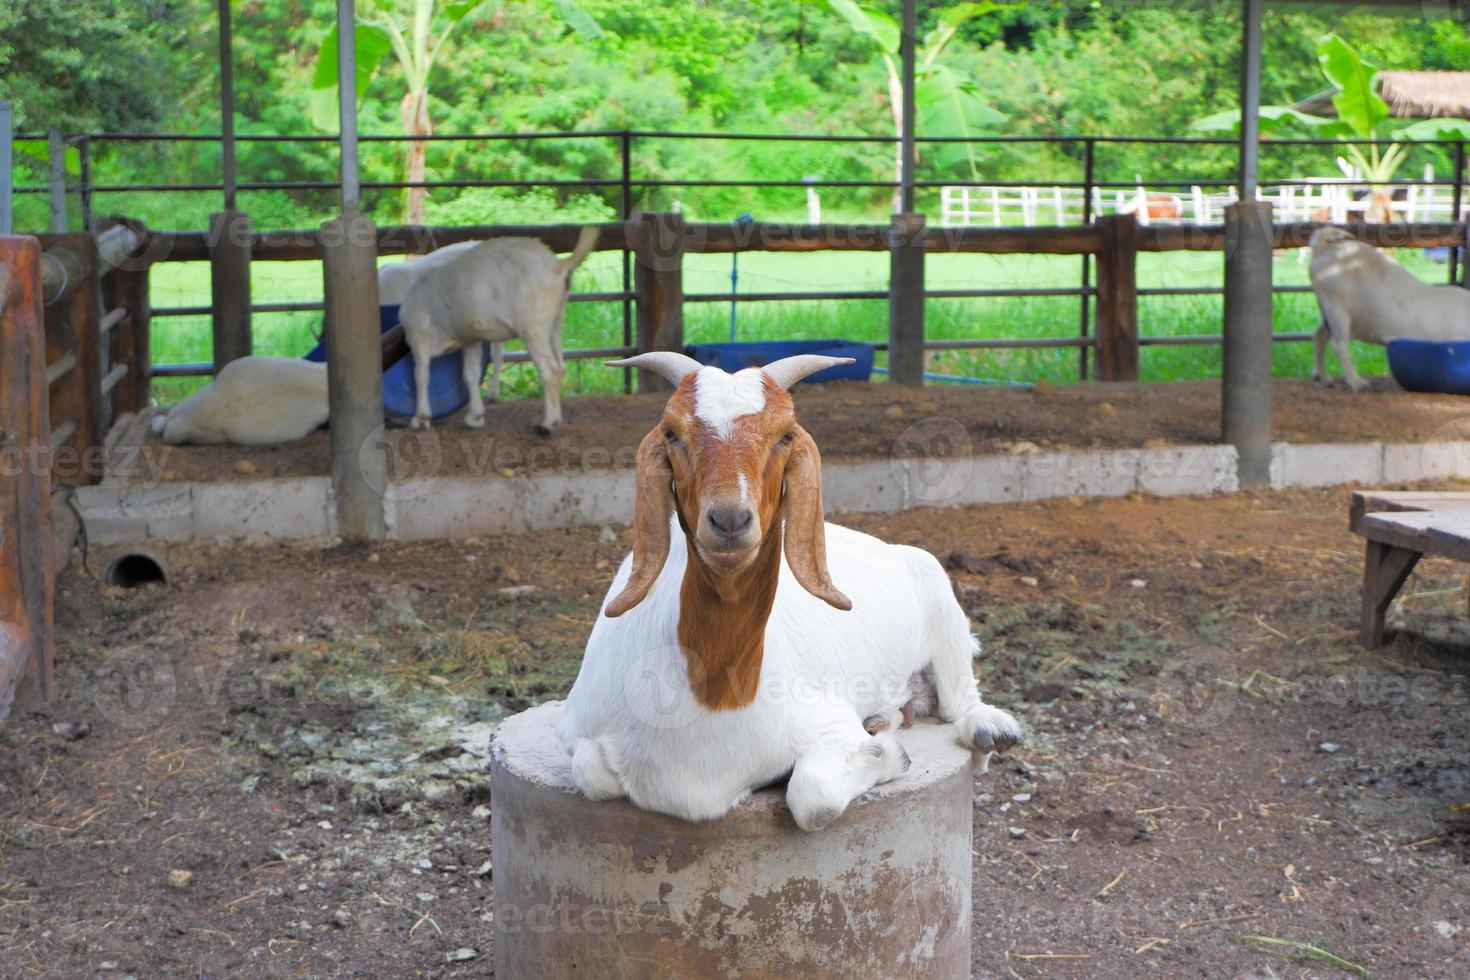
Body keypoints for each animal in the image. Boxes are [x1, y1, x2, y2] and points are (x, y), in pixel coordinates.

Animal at [396, 230, 596, 431]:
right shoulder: (470, 339)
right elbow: (471, 375)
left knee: (550, 371)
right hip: (555, 320)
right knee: (561, 368)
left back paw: (546, 424)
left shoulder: (419, 333)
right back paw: (556, 419)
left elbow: (421, 374)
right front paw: (475, 417)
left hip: (532, 325)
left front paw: (420, 418)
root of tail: (557, 266)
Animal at [555, 352, 1029, 828]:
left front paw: (888, 753)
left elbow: (813, 799)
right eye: (672, 432)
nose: (730, 521)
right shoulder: (578, 725)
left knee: (958, 700)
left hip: (938, 594)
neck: (715, 694)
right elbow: (591, 770)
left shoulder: (827, 721)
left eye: (785, 434)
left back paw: (988, 730)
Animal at [1311, 226, 1470, 390]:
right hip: (1336, 304)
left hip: (1328, 309)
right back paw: (1356, 382)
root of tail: (1324, 247)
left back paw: (1324, 378)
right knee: (1339, 344)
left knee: (1320, 336)